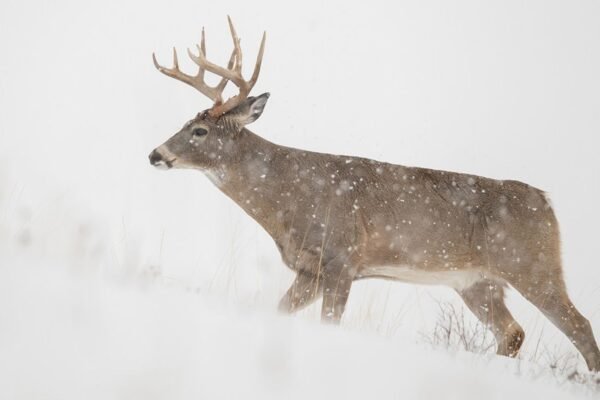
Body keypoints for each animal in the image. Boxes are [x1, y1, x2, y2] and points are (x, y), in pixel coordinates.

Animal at [149, 16, 600, 372]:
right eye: (186, 124)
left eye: (199, 131)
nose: (156, 154)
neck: (287, 198)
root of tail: (547, 201)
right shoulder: (309, 269)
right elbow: (279, 311)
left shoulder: (342, 257)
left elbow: (330, 324)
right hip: (477, 282)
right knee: (513, 333)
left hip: (532, 264)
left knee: (580, 326)